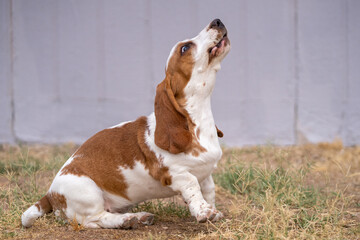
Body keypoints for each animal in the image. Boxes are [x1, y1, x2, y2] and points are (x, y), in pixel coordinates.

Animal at [22, 18, 231, 229]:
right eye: (185, 48)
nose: (217, 21)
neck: (198, 116)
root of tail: (50, 195)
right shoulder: (174, 173)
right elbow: (192, 185)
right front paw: (204, 212)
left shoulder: (205, 173)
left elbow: (209, 189)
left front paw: (213, 212)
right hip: (89, 193)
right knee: (95, 220)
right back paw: (128, 220)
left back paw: (139, 217)